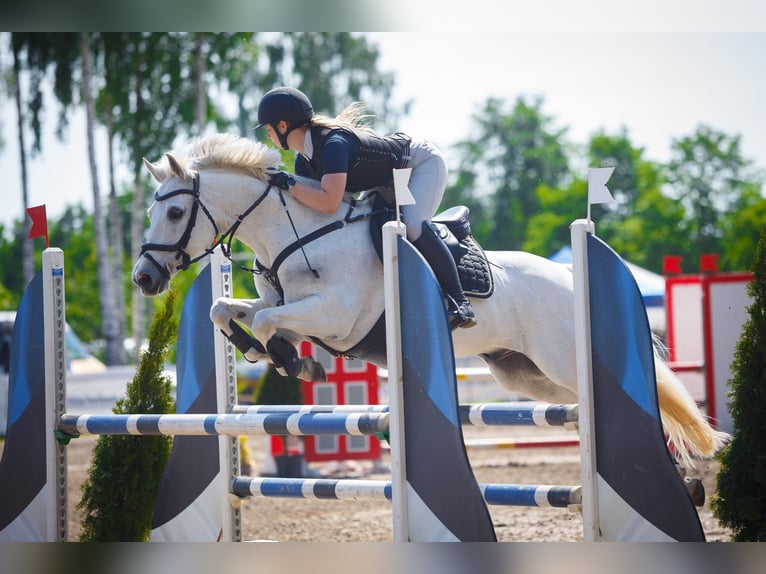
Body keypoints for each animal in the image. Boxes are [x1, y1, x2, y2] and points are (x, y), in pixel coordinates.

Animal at [135, 132, 728, 468]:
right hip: (527, 374)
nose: (142, 278)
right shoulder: (291, 308)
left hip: (560, 358)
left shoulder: (335, 316)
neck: (295, 233)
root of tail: (566, 273)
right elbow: (229, 312)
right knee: (579, 404)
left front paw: (289, 359)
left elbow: (269, 324)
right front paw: (272, 353)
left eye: (173, 212)